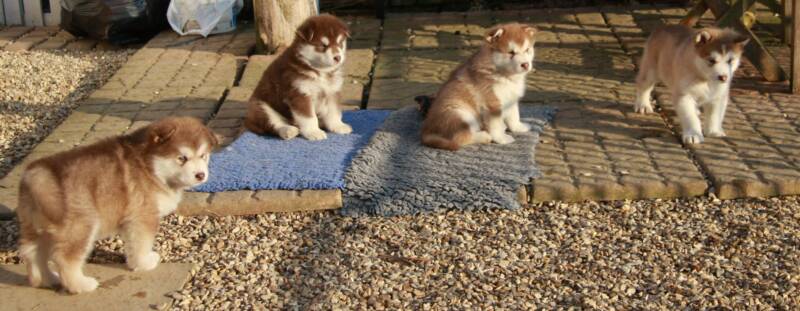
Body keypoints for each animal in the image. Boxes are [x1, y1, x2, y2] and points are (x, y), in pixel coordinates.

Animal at [18, 117, 219, 294]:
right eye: (182, 158)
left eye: (203, 156)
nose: (201, 175)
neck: (149, 165)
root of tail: (36, 176)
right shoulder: (143, 216)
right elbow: (142, 243)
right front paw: (145, 262)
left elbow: (133, 243)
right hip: (80, 226)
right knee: (65, 258)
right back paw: (81, 285)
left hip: (38, 228)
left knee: (32, 253)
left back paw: (46, 279)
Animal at [418, 22, 536, 151]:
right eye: (511, 52)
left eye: (527, 49)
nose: (525, 64)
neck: (504, 74)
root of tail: (426, 132)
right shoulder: (492, 103)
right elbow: (495, 125)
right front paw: (501, 139)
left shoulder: (511, 98)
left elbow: (514, 116)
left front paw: (519, 127)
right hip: (460, 114)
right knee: (461, 138)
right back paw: (484, 136)